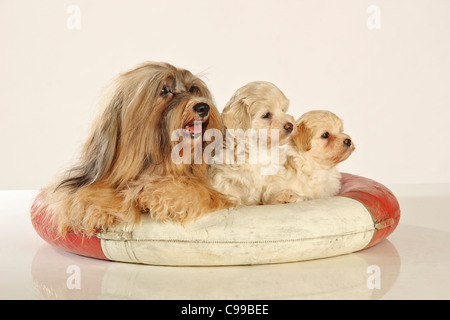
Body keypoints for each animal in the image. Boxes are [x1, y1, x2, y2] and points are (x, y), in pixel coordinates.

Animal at [32, 62, 232, 235]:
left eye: (192, 89)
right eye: (163, 90)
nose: (202, 106)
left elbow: (191, 190)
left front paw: (156, 193)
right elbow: (86, 194)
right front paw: (98, 210)